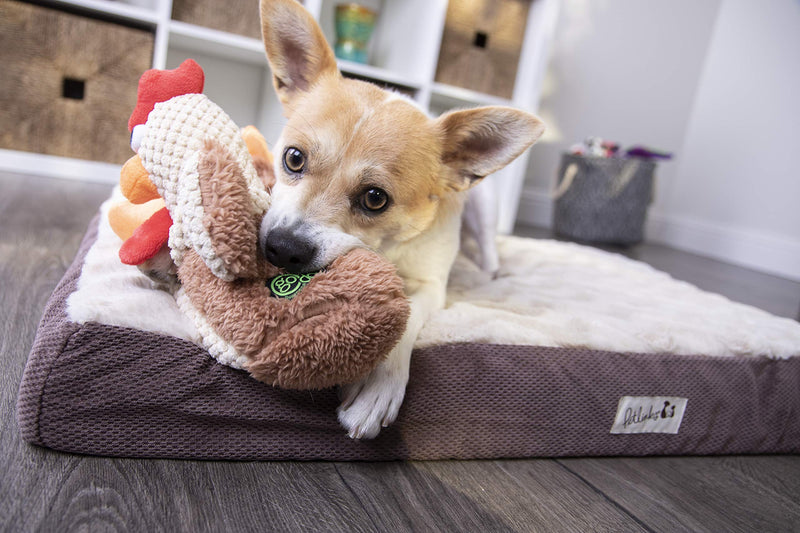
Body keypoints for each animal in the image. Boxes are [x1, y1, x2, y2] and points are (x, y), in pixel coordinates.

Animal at [260, 0, 548, 438]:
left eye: (375, 199)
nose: (282, 248)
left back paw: (489, 273)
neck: (391, 247)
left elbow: (407, 315)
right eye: (293, 158)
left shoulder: (431, 285)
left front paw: (379, 384)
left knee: (489, 253)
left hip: (484, 207)